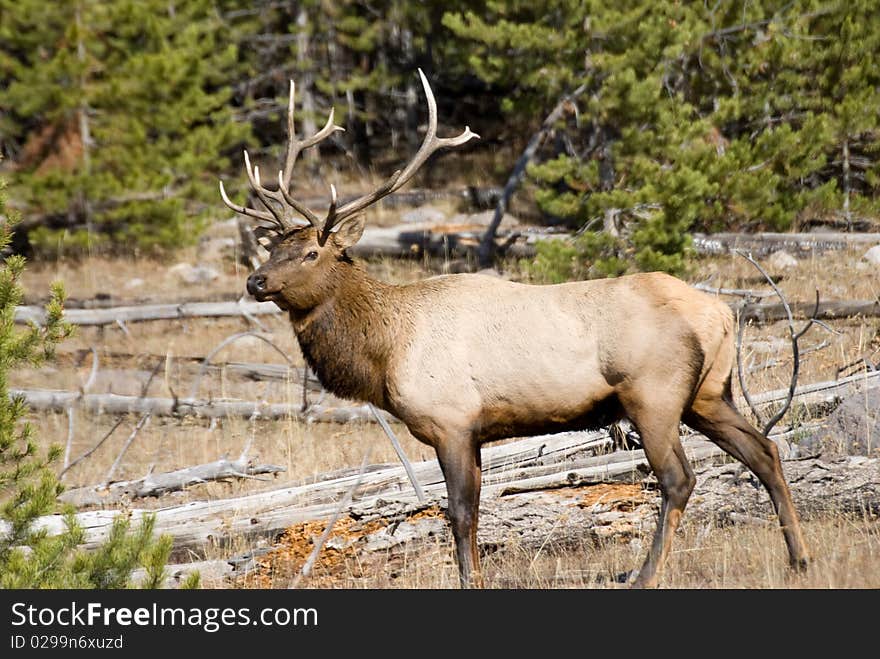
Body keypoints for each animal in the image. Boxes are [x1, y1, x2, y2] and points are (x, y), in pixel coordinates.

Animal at [218, 71, 804, 588]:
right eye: (274, 247)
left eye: (312, 253)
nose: (255, 280)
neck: (386, 352)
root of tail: (722, 313)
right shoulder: (475, 430)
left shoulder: (451, 420)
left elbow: (460, 512)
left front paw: (469, 581)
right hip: (708, 392)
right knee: (765, 450)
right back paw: (798, 557)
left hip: (653, 393)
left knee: (678, 478)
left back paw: (646, 575)